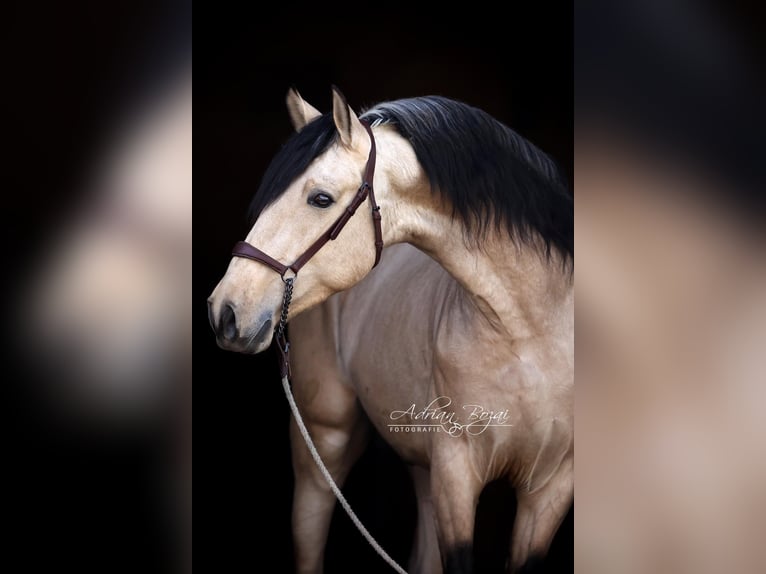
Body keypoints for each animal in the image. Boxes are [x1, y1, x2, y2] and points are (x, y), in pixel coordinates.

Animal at [208, 87, 573, 573]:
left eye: (320, 199)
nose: (225, 311)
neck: (532, 333)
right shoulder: (457, 472)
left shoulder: (550, 487)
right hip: (323, 442)